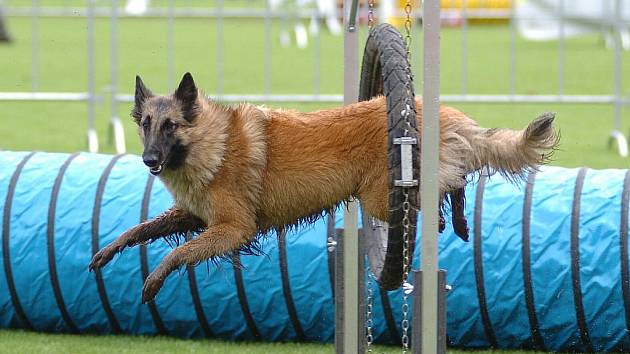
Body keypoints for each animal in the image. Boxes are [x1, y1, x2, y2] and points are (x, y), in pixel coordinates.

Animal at [87, 72, 556, 304]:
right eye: (146, 125)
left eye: (171, 126)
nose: (148, 160)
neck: (211, 142)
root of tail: (448, 114)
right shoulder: (197, 216)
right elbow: (142, 229)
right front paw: (105, 253)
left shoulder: (233, 228)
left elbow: (178, 253)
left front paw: (153, 282)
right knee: (458, 177)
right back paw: (456, 222)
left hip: (381, 196)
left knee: (454, 179)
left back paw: (451, 219)